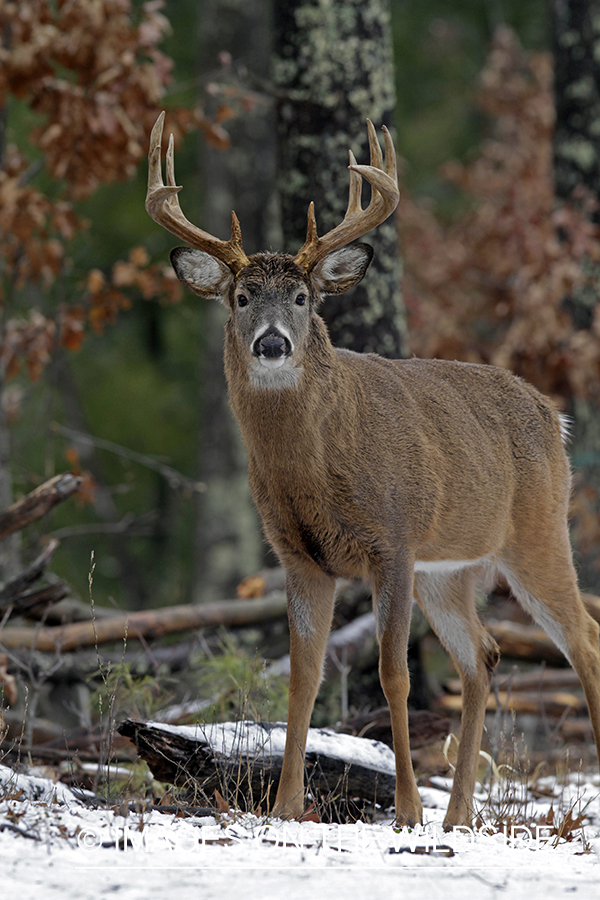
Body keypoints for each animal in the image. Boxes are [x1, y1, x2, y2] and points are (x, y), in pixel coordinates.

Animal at [145, 110, 600, 828]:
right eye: (242, 297)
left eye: (302, 297)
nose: (271, 343)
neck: (315, 470)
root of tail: (555, 417)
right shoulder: (299, 556)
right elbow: (304, 675)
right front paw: (287, 806)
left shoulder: (395, 540)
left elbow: (394, 674)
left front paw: (407, 809)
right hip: (450, 569)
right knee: (483, 655)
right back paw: (458, 815)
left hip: (537, 531)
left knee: (584, 639)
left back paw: (448, 810)